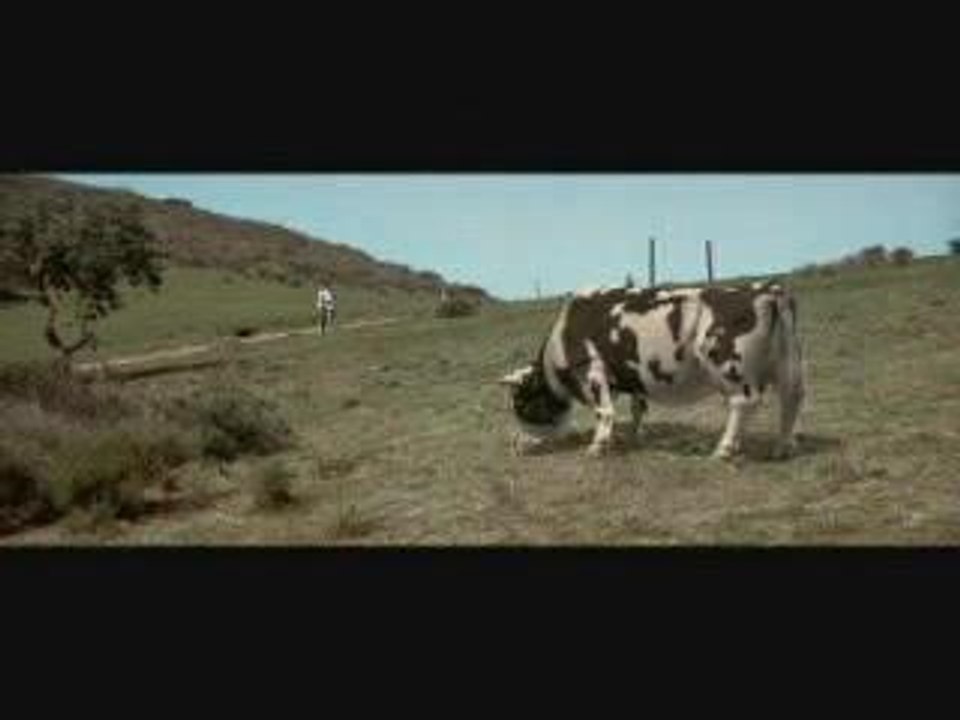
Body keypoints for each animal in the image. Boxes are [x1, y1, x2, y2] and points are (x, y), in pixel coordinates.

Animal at [498, 280, 805, 460]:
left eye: (521, 404)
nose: (515, 444)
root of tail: (767, 289)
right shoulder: (634, 378)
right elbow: (638, 408)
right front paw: (635, 437)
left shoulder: (592, 370)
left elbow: (604, 411)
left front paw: (598, 446)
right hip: (786, 363)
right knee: (791, 399)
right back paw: (783, 447)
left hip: (731, 366)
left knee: (744, 402)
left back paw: (724, 449)